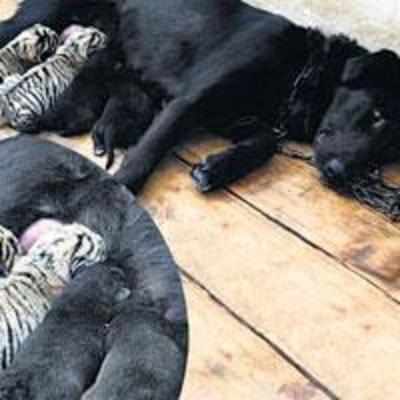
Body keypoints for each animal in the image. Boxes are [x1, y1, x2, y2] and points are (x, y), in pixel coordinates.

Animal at [2, 1, 400, 192]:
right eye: (377, 114)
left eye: (388, 151)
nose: (339, 175)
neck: (301, 68)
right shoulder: (192, 99)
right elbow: (146, 153)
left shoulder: (233, 117)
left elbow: (267, 142)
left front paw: (219, 167)